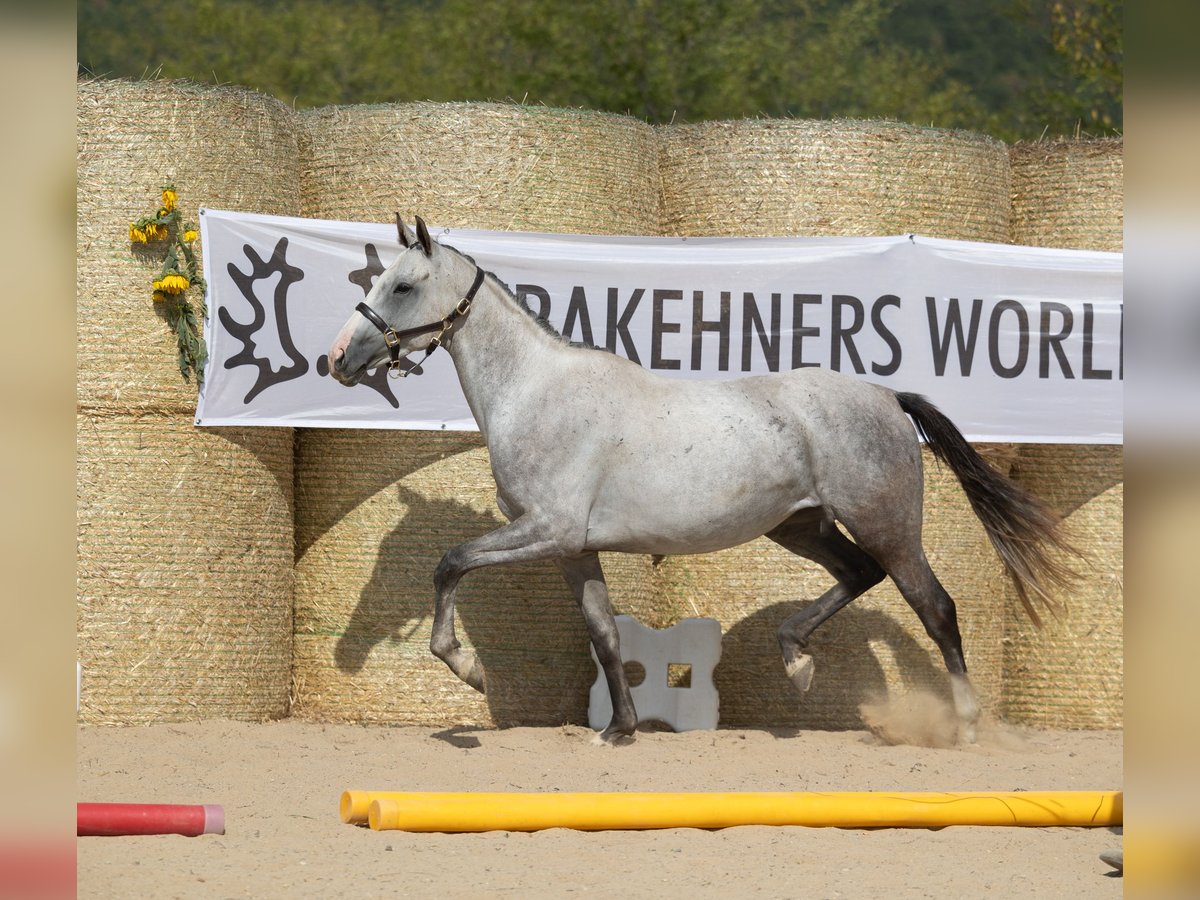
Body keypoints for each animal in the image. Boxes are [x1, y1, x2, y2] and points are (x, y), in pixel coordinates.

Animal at [331, 217, 1080, 748]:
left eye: (402, 286)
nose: (340, 357)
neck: (536, 391)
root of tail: (887, 397)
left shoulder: (547, 530)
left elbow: (451, 563)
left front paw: (467, 668)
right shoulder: (573, 549)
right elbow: (604, 635)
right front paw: (621, 730)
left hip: (888, 525)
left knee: (937, 608)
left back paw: (967, 724)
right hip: (801, 525)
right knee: (856, 575)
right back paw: (796, 660)